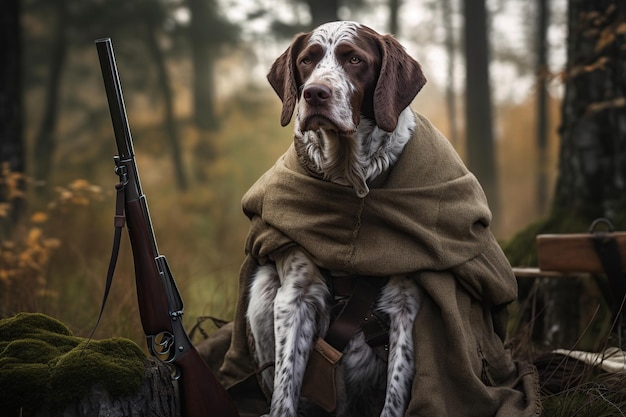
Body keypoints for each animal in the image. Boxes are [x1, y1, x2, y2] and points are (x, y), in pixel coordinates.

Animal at [244, 22, 424, 416]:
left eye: (354, 59)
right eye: (306, 60)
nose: (315, 93)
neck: (351, 181)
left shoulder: (405, 305)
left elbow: (395, 394)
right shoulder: (294, 298)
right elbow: (284, 394)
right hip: (263, 291)